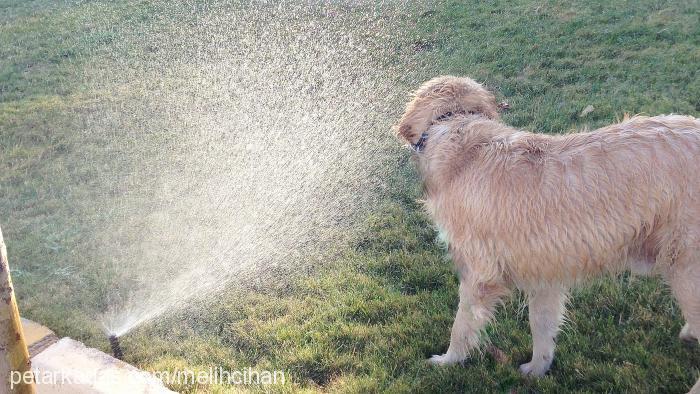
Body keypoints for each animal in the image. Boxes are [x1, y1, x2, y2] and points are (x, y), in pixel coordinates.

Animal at [396, 76, 700, 390]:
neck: (457, 128)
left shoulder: (479, 274)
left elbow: (462, 325)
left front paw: (447, 361)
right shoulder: (545, 272)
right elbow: (541, 326)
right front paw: (536, 369)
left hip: (686, 266)